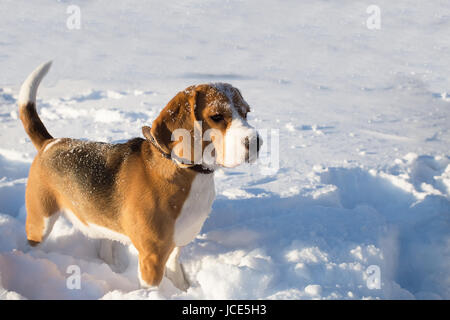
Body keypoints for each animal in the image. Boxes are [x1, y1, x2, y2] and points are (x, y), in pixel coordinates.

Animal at [17, 61, 262, 292]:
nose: (256, 141)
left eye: (246, 112)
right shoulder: (151, 258)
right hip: (41, 220)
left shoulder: (177, 244)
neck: (186, 172)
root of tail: (50, 142)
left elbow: (177, 272)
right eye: (217, 116)